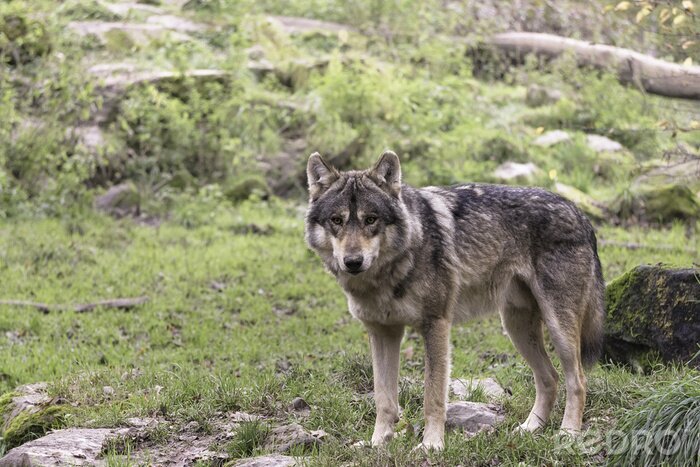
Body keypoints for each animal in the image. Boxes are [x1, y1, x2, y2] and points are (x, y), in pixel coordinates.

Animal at [305, 150, 605, 450]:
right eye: (337, 220)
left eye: (370, 219)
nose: (353, 262)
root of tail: (580, 213)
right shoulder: (382, 332)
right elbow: (383, 398)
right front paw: (377, 444)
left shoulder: (436, 325)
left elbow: (433, 396)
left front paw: (431, 445)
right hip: (516, 328)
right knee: (549, 378)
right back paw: (531, 428)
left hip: (557, 328)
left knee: (578, 380)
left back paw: (568, 434)